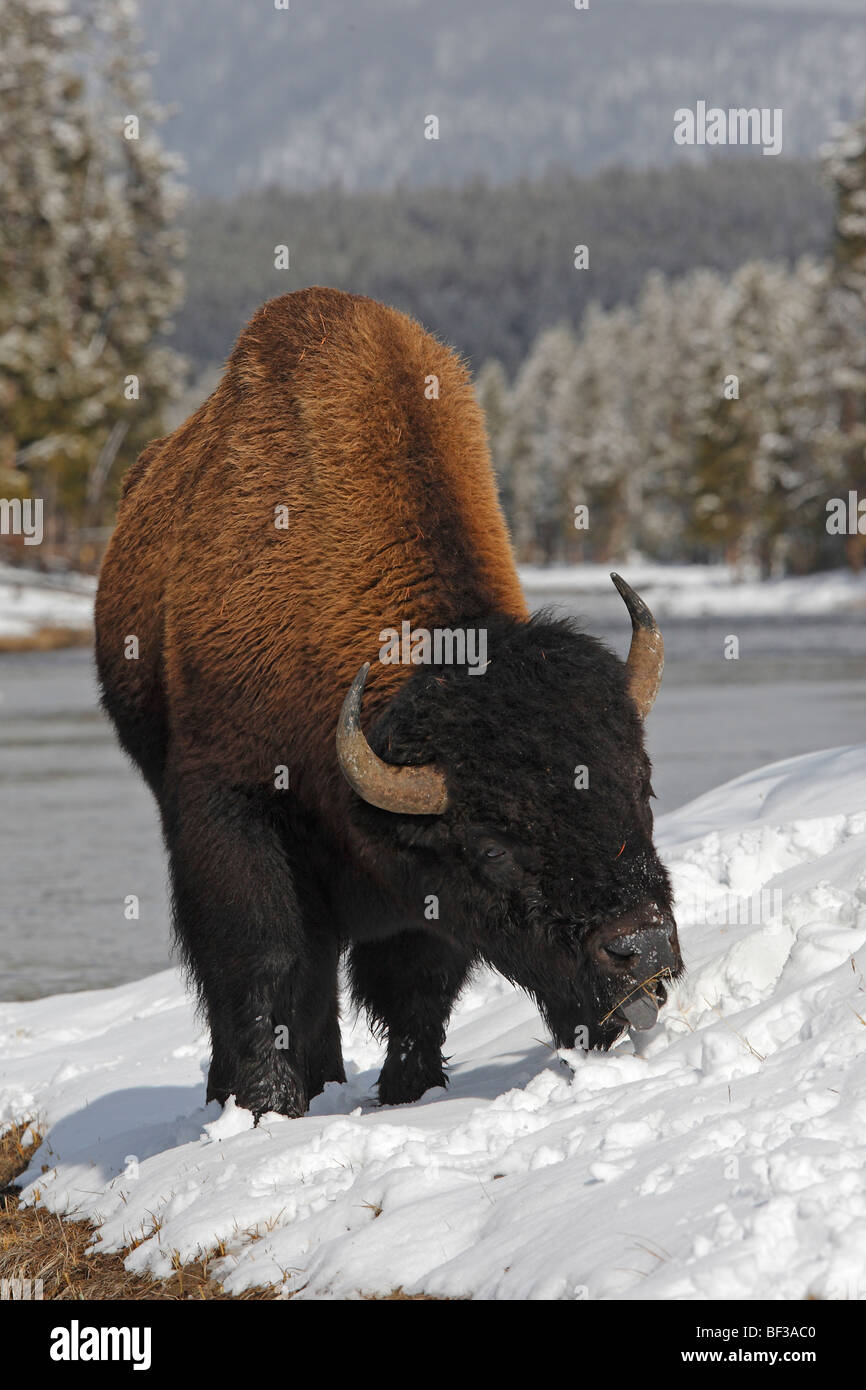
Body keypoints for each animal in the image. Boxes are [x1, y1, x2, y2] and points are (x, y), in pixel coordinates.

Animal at [95, 286, 682, 1119]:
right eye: (493, 848)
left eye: (644, 790)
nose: (644, 951)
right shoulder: (231, 811)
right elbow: (264, 966)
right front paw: (269, 1108)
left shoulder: (416, 903)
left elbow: (415, 993)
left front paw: (410, 1091)